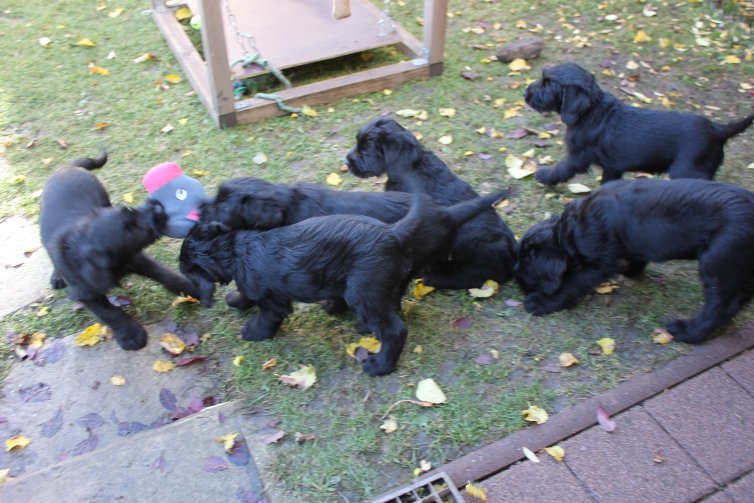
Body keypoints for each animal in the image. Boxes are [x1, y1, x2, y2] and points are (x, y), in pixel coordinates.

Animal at [39, 153, 198, 350]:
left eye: (130, 211)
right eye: (132, 228)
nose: (156, 205)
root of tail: (67, 167)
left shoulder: (135, 258)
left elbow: (166, 275)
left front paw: (191, 289)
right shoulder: (85, 292)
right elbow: (110, 313)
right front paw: (130, 335)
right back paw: (57, 277)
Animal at [178, 185, 502, 374]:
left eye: (222, 204)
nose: (198, 210)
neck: (234, 249)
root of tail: (393, 232)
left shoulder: (272, 299)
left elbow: (267, 314)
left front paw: (253, 331)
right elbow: (245, 293)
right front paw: (236, 300)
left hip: (365, 290)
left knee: (394, 329)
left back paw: (379, 365)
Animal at [516, 178, 752, 346]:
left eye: (525, 265)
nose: (517, 281)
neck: (569, 230)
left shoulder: (598, 262)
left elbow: (571, 283)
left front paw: (540, 302)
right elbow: (636, 257)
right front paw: (629, 270)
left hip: (717, 260)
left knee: (721, 306)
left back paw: (687, 332)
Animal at [524, 62, 752, 186]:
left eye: (547, 85)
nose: (525, 93)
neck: (591, 110)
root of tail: (718, 131)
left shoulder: (577, 157)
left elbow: (561, 169)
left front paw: (543, 175)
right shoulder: (612, 167)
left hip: (687, 171)